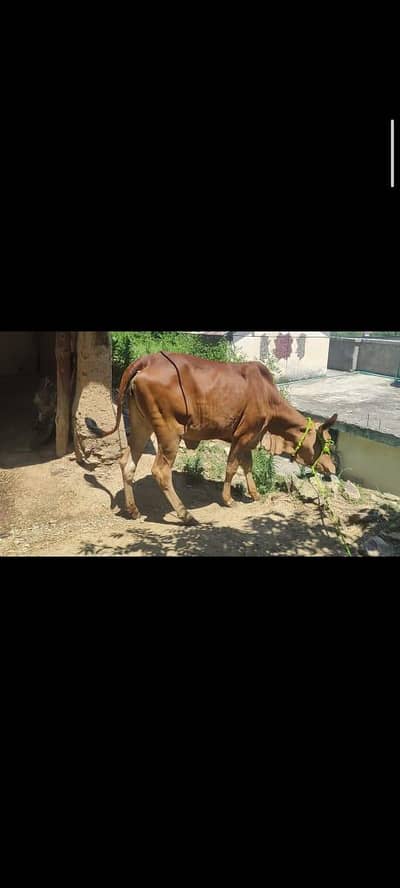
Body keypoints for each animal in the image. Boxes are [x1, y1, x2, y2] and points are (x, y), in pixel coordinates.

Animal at [86, 352, 338, 525]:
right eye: (325, 444)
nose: (332, 468)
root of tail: (147, 360)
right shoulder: (244, 435)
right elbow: (232, 467)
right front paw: (228, 499)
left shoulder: (249, 438)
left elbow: (247, 466)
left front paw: (255, 494)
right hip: (169, 431)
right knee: (160, 471)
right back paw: (186, 515)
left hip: (141, 424)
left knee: (127, 463)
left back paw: (134, 510)